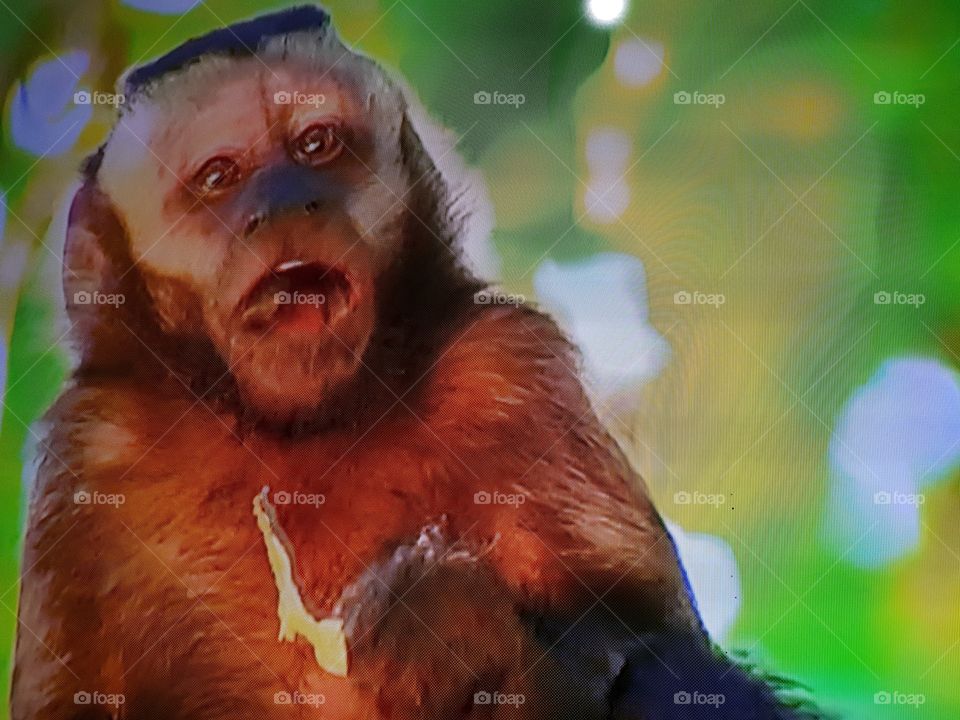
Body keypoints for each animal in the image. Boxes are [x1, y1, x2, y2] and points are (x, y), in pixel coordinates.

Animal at [11, 6, 820, 719]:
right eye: (219, 176)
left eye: (316, 144)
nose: (286, 202)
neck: (304, 428)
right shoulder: (90, 456)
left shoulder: (510, 366)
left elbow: (658, 643)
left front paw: (449, 629)